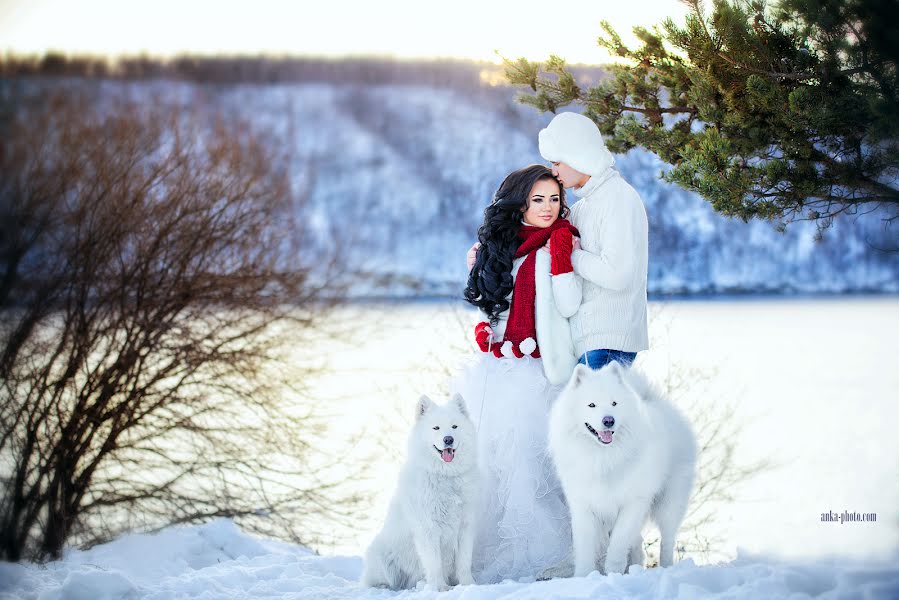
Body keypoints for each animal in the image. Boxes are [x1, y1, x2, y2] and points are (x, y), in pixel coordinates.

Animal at [362, 394, 482, 592]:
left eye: (454, 426)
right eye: (436, 428)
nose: (448, 439)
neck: (446, 476)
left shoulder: (465, 527)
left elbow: (464, 562)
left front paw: (468, 585)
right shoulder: (428, 528)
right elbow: (434, 563)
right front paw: (440, 588)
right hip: (380, 556)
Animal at [548, 360, 696, 576]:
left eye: (614, 404)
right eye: (591, 405)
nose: (609, 420)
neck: (604, 457)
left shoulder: (633, 503)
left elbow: (618, 543)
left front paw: (612, 572)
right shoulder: (584, 505)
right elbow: (585, 548)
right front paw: (584, 576)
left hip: (669, 503)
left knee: (667, 540)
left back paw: (666, 567)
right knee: (638, 541)